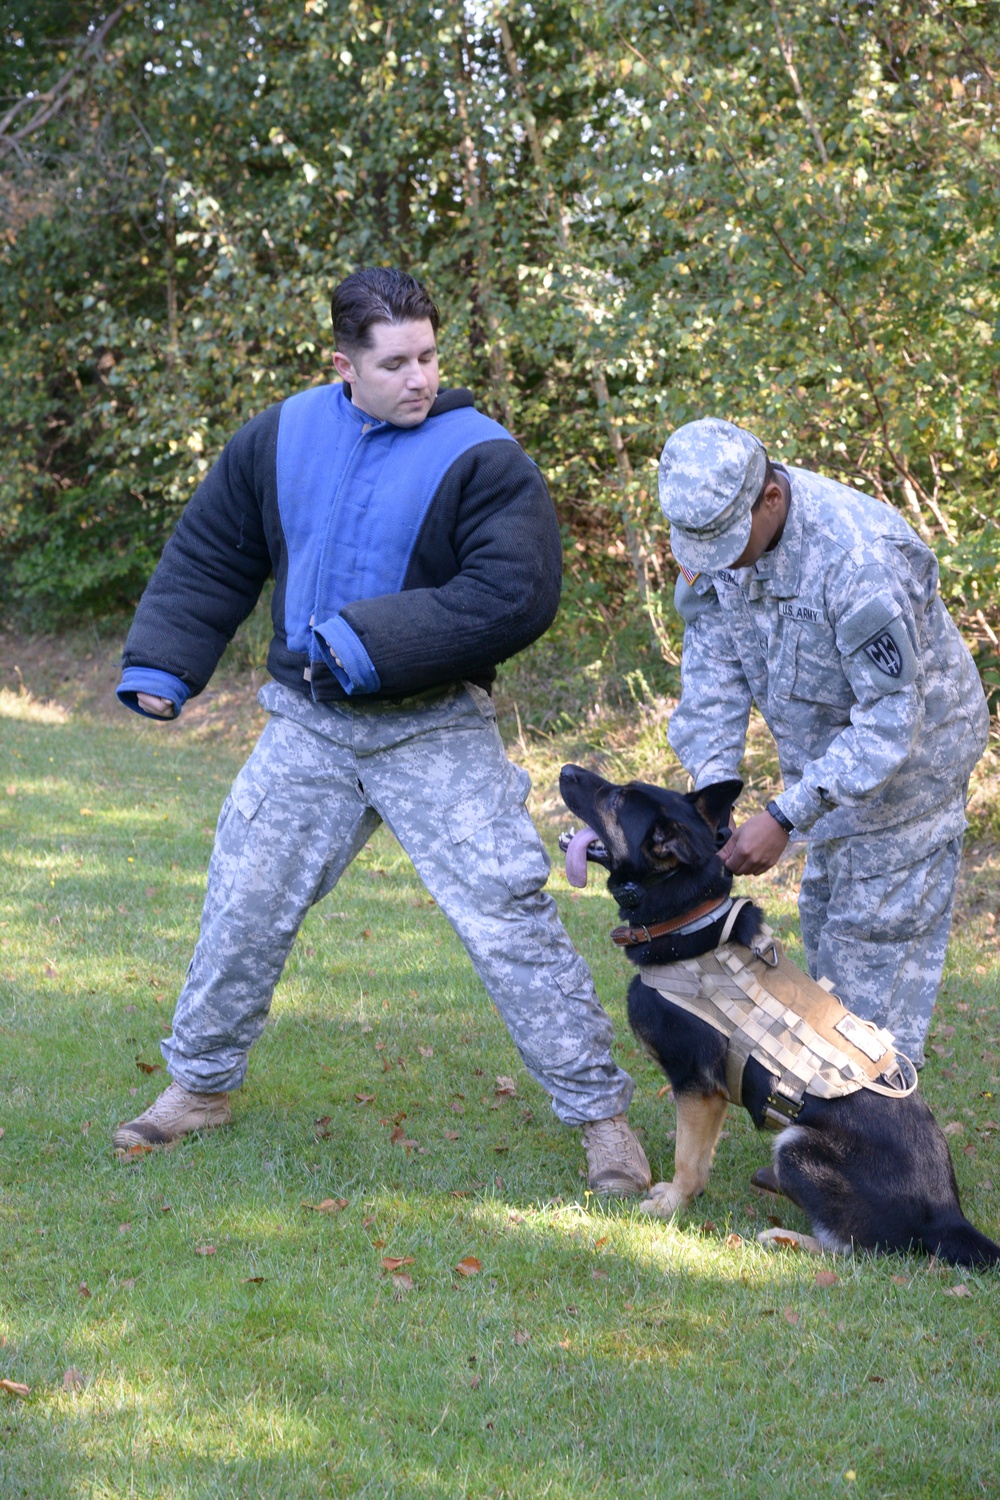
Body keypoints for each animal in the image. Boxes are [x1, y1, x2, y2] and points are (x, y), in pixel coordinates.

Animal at [560, 762, 995, 1266]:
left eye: (617, 798)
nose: (566, 769)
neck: (688, 918)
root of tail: (949, 1217)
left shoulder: (696, 1087)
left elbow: (688, 1159)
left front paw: (670, 1205)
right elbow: (700, 1157)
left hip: (795, 1145)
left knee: (853, 1250)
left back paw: (786, 1238)